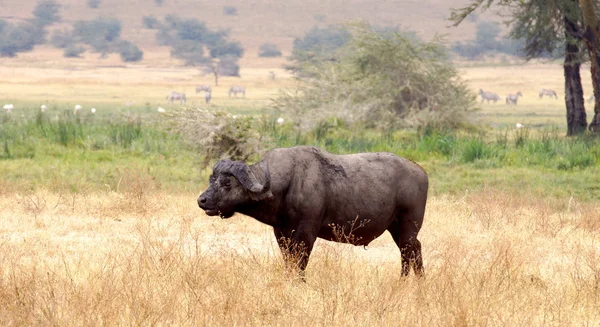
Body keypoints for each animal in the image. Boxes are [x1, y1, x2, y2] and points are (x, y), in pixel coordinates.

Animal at [199, 147, 428, 278]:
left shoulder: (306, 234)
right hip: (397, 229)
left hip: (407, 227)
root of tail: (420, 172)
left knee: (408, 252)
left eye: (227, 183)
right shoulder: (282, 234)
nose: (202, 200)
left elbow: (300, 264)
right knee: (414, 250)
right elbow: (289, 262)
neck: (287, 183)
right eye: (212, 180)